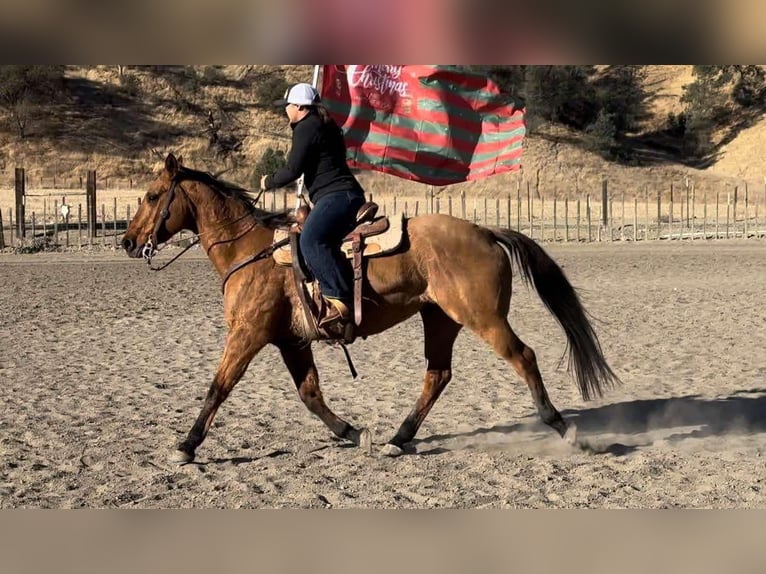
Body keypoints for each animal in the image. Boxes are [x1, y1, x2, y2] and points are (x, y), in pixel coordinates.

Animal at [121, 155, 624, 466]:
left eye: (151, 195)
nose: (126, 241)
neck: (252, 250)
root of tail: (484, 230)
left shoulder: (248, 334)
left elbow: (218, 387)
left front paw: (186, 446)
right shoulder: (290, 340)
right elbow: (310, 394)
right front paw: (352, 432)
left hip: (482, 318)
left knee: (523, 357)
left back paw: (562, 428)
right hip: (440, 318)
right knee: (438, 375)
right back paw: (397, 441)